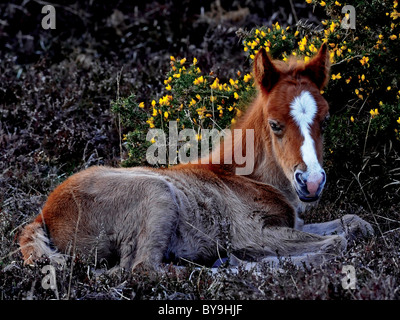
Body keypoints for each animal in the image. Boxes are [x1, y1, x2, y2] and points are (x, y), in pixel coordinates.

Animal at [20, 43, 374, 270]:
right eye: (275, 124)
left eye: (325, 120)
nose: (311, 182)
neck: (245, 177)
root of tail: (44, 213)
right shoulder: (253, 233)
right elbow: (338, 242)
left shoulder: (294, 223)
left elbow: (357, 224)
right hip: (157, 194)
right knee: (140, 270)